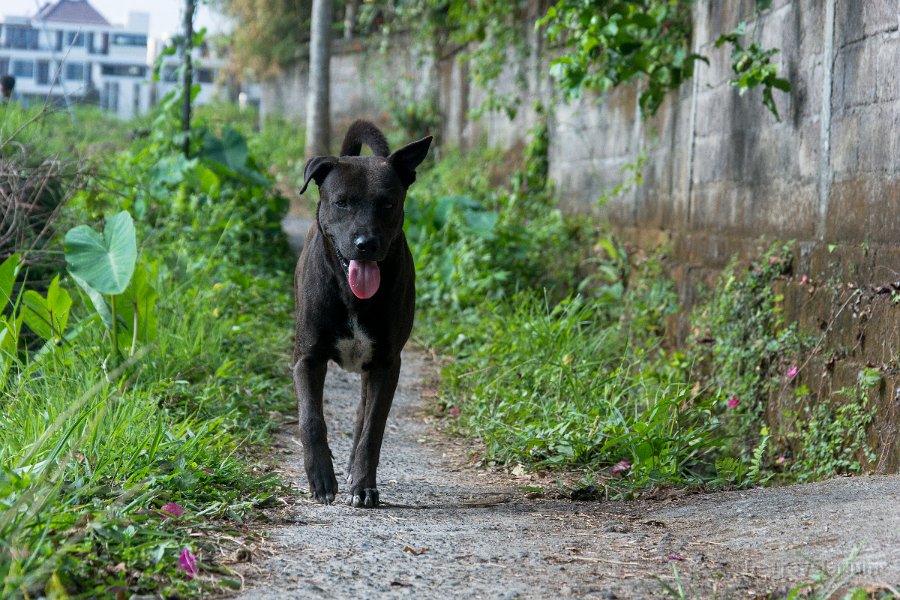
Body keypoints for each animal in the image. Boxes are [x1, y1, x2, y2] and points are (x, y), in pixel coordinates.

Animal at [296, 120, 432, 506]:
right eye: (341, 202)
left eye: (388, 203)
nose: (366, 244)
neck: (352, 295)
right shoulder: (307, 359)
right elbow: (311, 419)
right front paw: (321, 479)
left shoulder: (386, 364)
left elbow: (372, 428)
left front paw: (363, 485)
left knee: (362, 417)